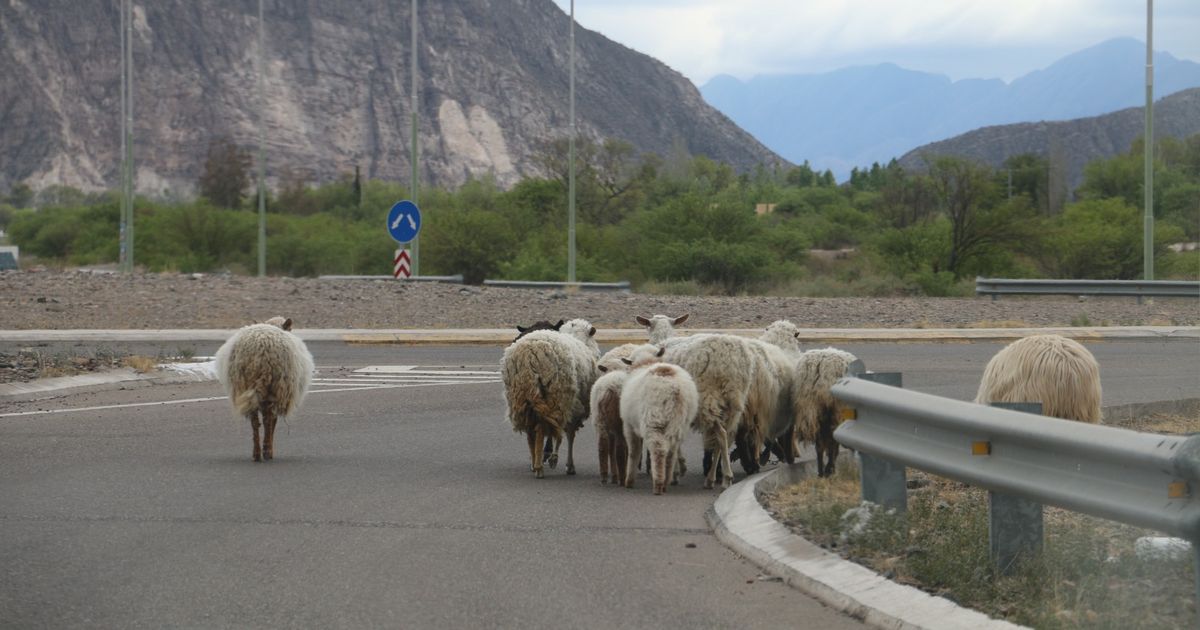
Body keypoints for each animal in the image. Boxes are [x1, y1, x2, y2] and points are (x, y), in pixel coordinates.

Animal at [213, 316, 314, 458]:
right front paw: (269, 447)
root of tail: (259, 349)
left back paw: (256, 453)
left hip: (244, 385)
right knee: (268, 419)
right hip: (273, 385)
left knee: (255, 421)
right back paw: (267, 451)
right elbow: (273, 421)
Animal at [614, 343, 700, 492]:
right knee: (671, 453)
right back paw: (666, 480)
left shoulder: (628, 425)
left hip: (654, 420)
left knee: (658, 450)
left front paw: (629, 481)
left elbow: (634, 451)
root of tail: (675, 389)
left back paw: (658, 483)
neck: (646, 363)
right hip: (679, 424)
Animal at [796, 345, 864, 475]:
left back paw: (821, 472)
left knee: (819, 444)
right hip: (835, 408)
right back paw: (829, 469)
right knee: (832, 439)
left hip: (812, 406)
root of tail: (820, 365)